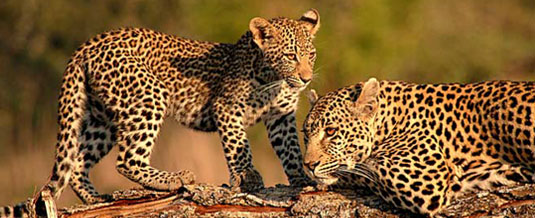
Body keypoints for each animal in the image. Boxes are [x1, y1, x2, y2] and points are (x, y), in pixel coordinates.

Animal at [0, 8, 320, 218]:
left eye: (311, 55)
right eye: (291, 56)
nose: (306, 79)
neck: (273, 78)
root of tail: (88, 44)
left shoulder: (281, 116)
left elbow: (290, 149)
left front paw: (301, 178)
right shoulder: (227, 108)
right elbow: (237, 145)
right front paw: (247, 176)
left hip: (104, 119)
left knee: (78, 161)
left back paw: (96, 199)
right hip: (149, 96)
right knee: (127, 160)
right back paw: (175, 178)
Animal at [304, 78, 532, 215]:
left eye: (331, 131)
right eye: (305, 135)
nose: (308, 165)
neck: (390, 118)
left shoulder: (426, 182)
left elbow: (363, 169)